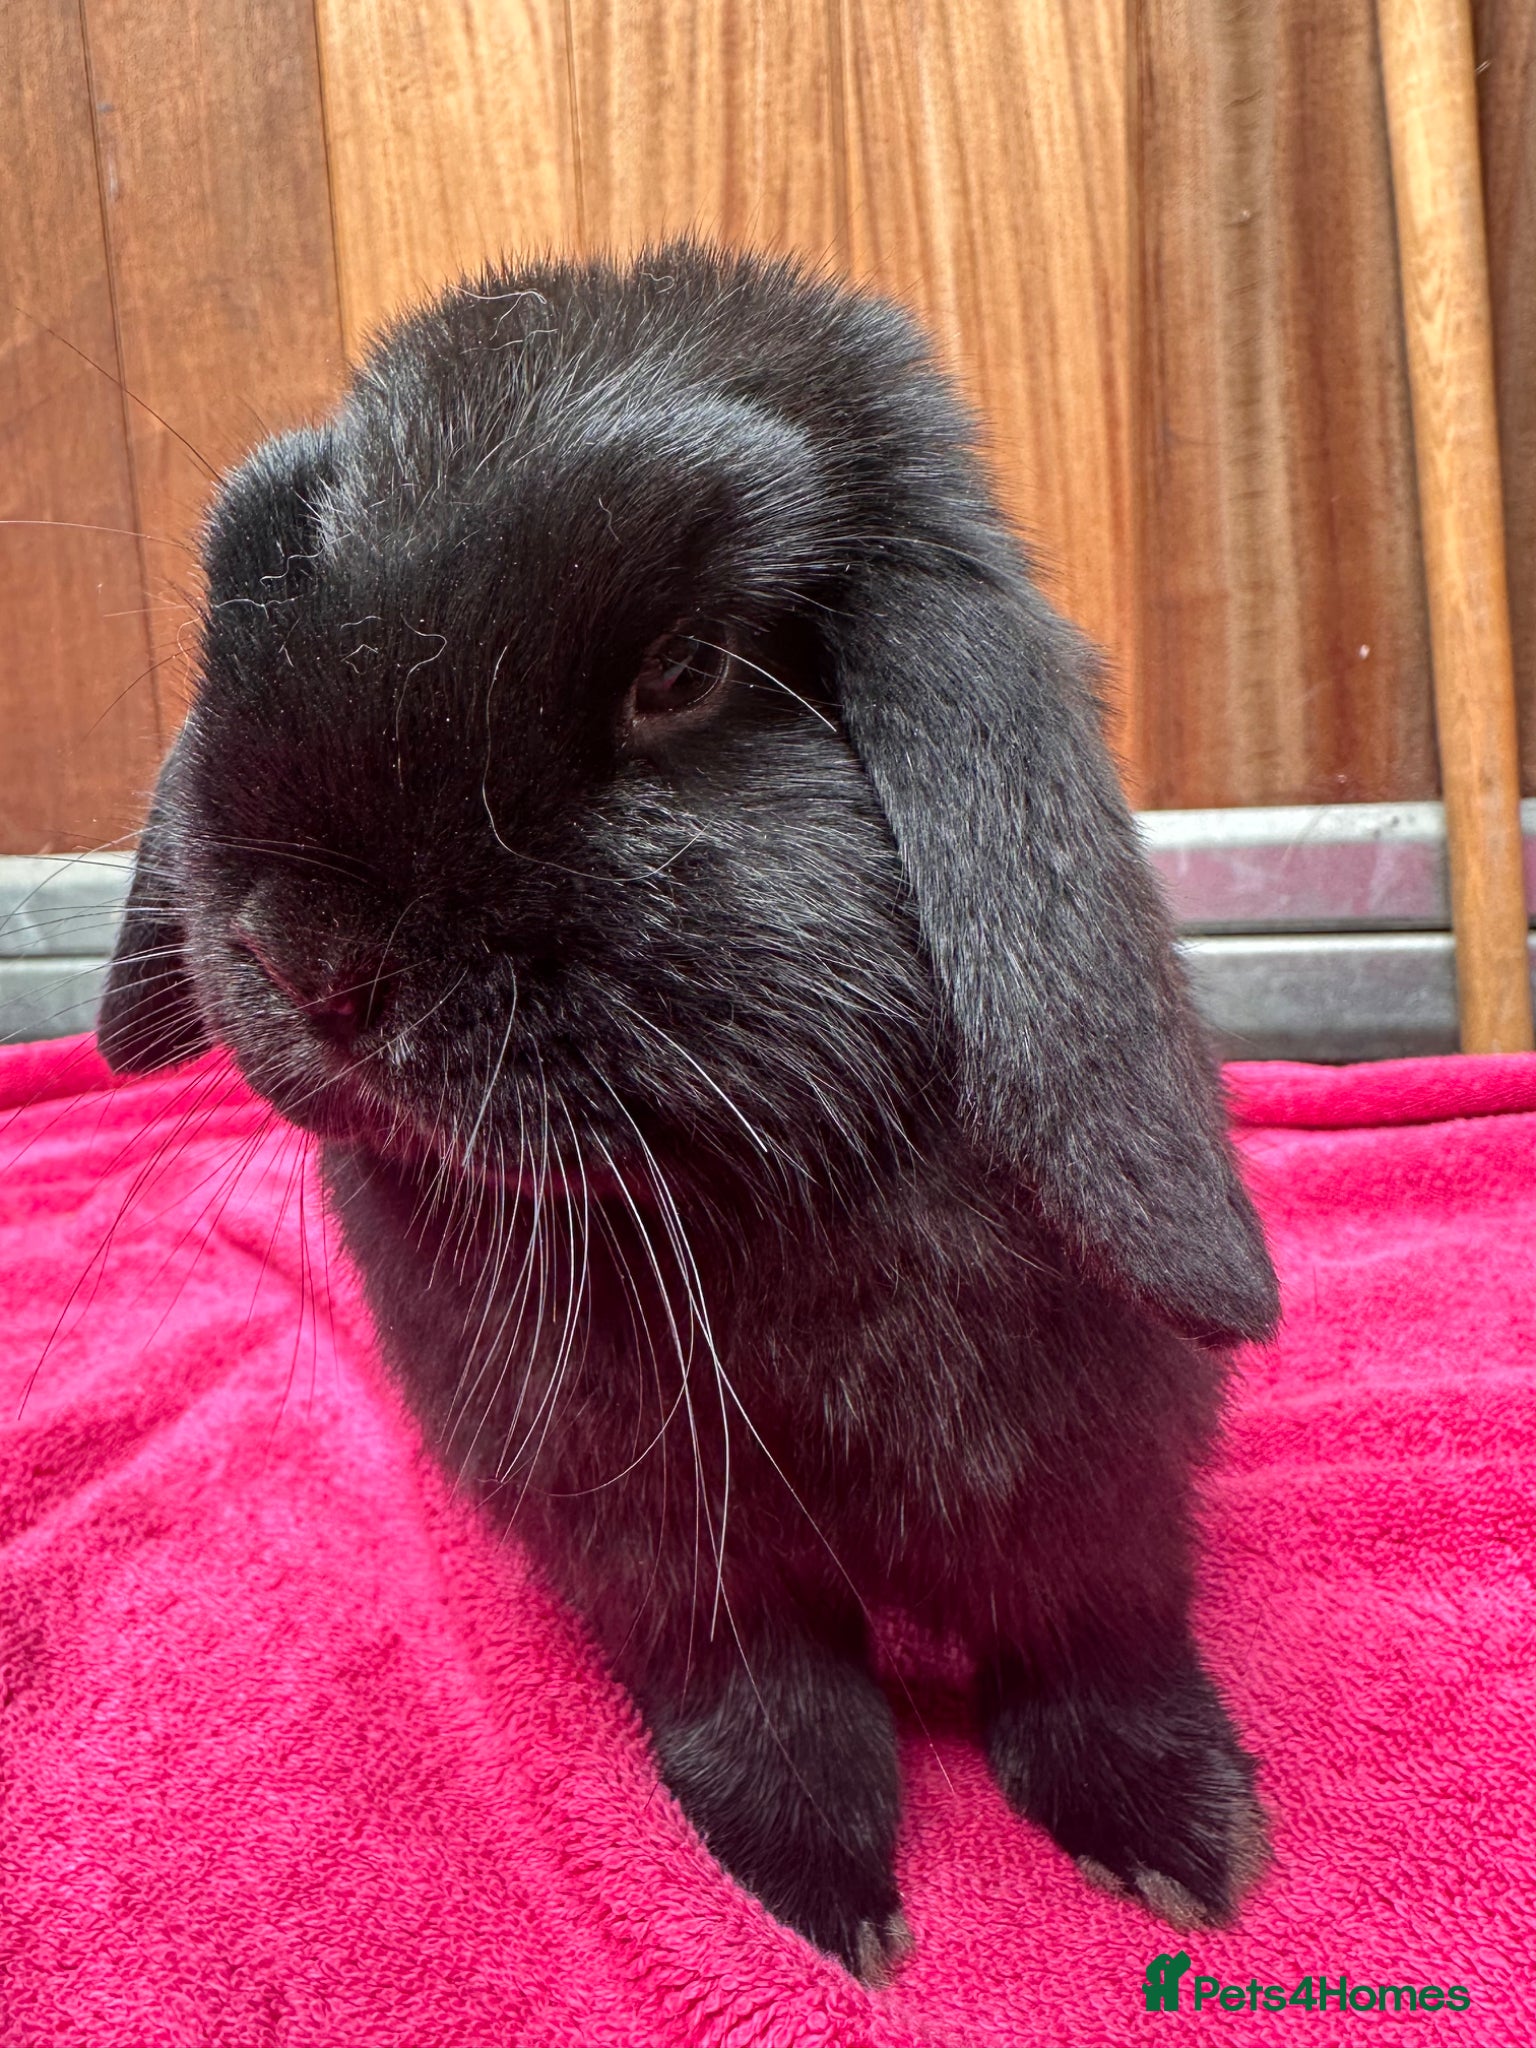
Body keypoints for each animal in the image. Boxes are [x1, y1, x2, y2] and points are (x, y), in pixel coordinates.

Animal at [98, 241, 1279, 1981]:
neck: (716, 1198)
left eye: (684, 673)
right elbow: (767, 1702)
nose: (305, 959)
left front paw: (1186, 1844)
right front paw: (817, 1890)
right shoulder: (658, 1547)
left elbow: (1087, 1638)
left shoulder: (1082, 1466)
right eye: (260, 586)